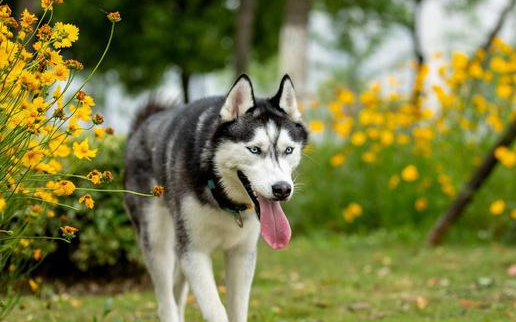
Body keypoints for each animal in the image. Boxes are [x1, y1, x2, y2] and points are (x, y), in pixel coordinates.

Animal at [124, 75, 306, 322]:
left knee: (177, 291)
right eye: (254, 150)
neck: (223, 199)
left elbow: (238, 309)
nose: (282, 189)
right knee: (166, 301)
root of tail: (143, 123)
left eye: (288, 150)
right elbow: (215, 310)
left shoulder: (241, 253)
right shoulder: (194, 252)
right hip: (157, 241)